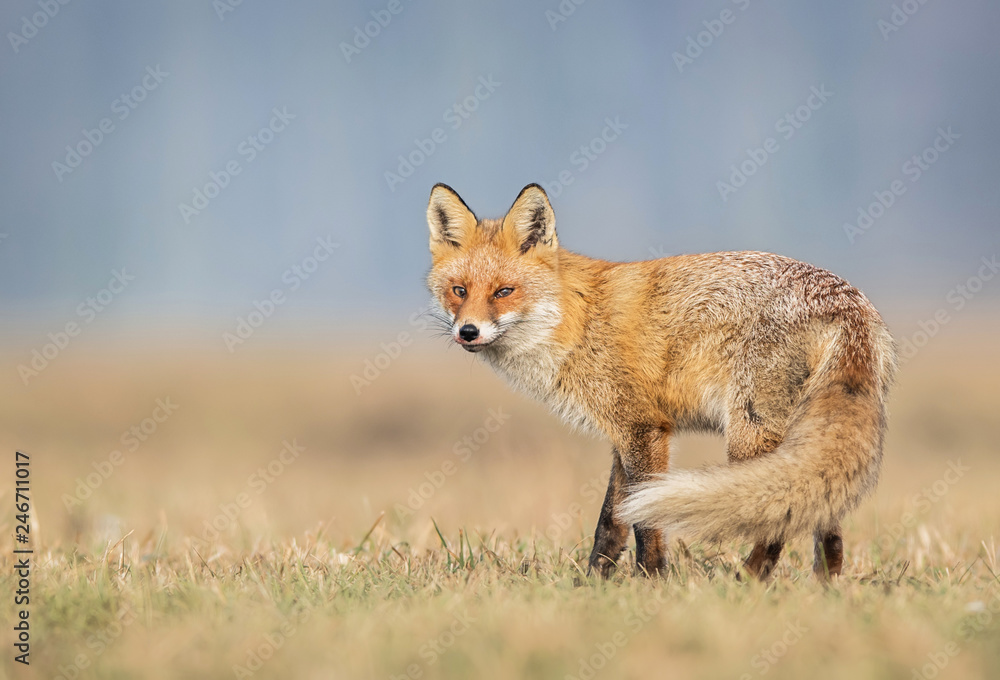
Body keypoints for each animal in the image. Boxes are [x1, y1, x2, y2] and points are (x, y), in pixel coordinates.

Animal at [422, 181, 900, 580]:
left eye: (504, 292)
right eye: (459, 291)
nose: (467, 332)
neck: (576, 320)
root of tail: (847, 301)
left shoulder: (642, 430)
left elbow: (645, 524)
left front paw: (650, 582)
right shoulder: (625, 433)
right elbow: (610, 523)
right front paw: (593, 583)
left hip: (751, 438)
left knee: (777, 519)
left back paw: (746, 583)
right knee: (825, 519)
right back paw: (825, 588)